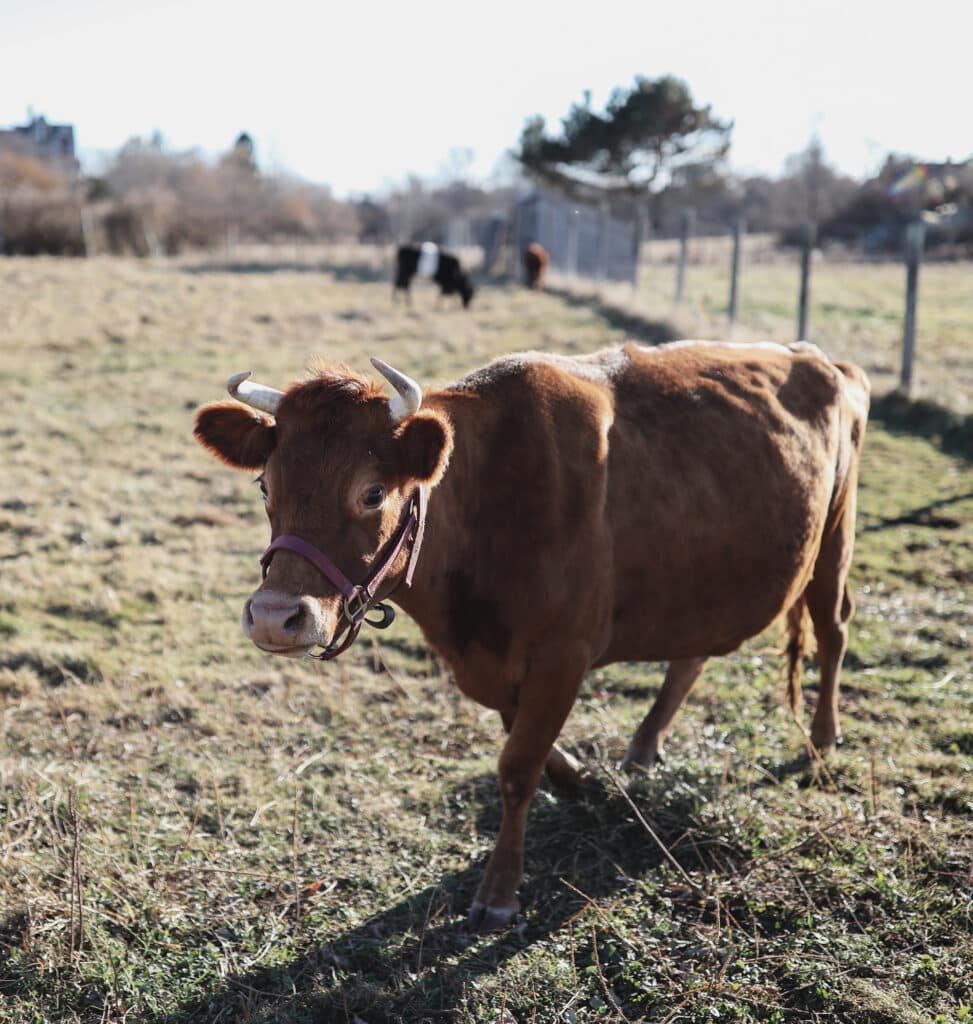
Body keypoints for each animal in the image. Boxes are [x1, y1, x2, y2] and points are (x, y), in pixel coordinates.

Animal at [193, 340, 869, 931]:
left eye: (372, 492)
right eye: (266, 486)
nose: (275, 616)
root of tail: (821, 359)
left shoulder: (563, 651)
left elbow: (518, 765)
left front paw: (499, 893)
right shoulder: (493, 661)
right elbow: (525, 737)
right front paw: (578, 779)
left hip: (834, 534)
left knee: (833, 628)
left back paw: (823, 737)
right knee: (691, 656)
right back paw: (643, 748)